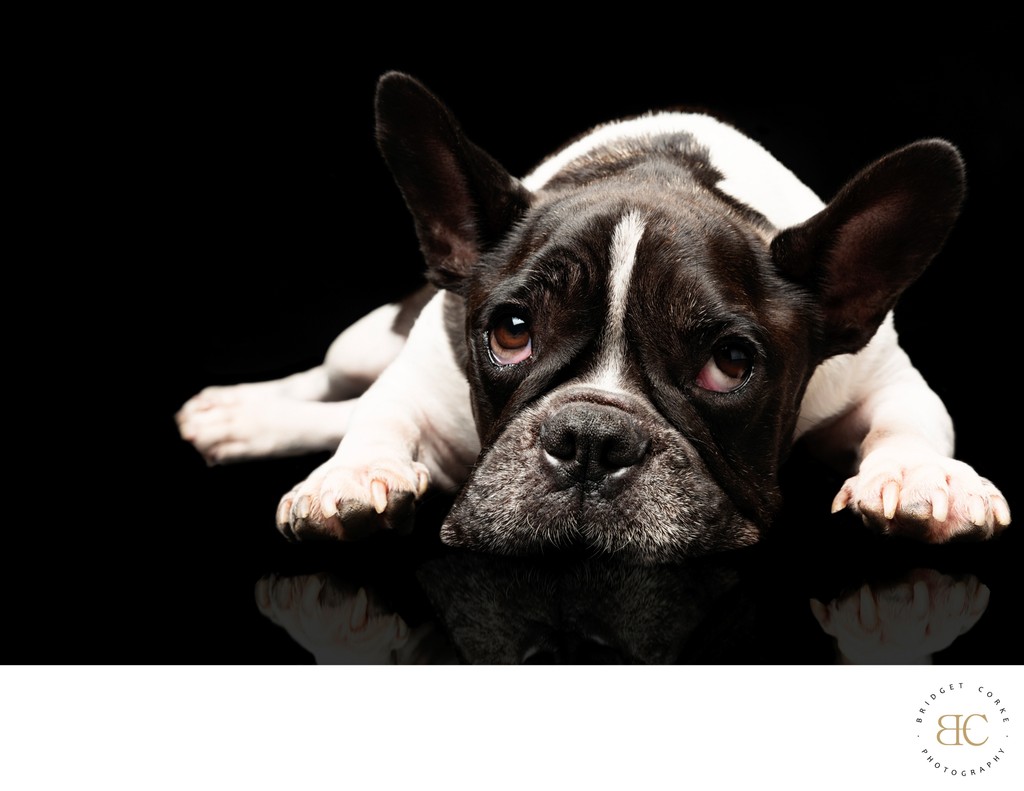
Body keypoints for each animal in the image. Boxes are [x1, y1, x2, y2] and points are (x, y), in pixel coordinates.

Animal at [176, 69, 1007, 561]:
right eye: (512, 332)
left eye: (730, 364)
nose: (590, 437)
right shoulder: (424, 372)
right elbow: (380, 414)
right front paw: (353, 476)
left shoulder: (879, 373)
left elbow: (911, 418)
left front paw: (922, 476)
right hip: (365, 337)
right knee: (333, 381)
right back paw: (240, 413)